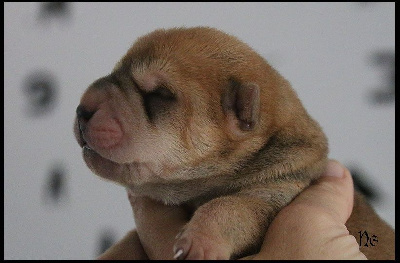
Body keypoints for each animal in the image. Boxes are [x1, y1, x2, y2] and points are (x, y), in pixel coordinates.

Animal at [74, 26, 394, 260]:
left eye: (160, 94)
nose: (82, 108)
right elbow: (127, 243)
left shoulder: (273, 195)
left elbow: (229, 207)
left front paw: (199, 241)